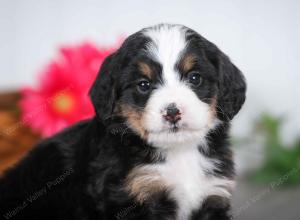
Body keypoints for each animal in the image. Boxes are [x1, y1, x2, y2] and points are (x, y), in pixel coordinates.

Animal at [0, 24, 246, 220]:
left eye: (195, 78)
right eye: (143, 84)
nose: (172, 112)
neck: (179, 153)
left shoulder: (213, 194)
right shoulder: (133, 196)